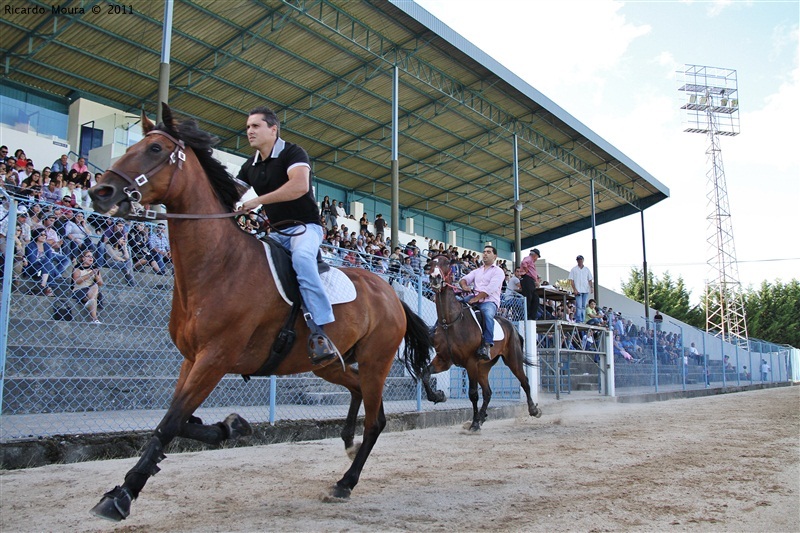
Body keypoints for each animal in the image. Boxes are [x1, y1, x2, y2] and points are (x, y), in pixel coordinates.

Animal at [89, 104, 432, 520]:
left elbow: (169, 423)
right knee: (355, 392)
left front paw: (122, 494)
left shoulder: (215, 358)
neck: (219, 265)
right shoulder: (192, 359)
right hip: (331, 364)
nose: (100, 191)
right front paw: (230, 426)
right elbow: (180, 419)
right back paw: (346, 440)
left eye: (155, 149)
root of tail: (392, 294)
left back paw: (345, 482)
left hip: (375, 361)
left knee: (376, 421)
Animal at [422, 255, 540, 432]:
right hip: (483, 367)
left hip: (513, 360)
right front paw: (438, 396)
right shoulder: (443, 360)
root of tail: (512, 326)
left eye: (446, 264)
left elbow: (472, 394)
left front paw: (474, 422)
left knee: (524, 382)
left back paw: (533, 410)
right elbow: (425, 374)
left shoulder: (470, 362)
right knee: (488, 392)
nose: (435, 278)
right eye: (431, 264)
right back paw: (482, 417)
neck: (450, 322)